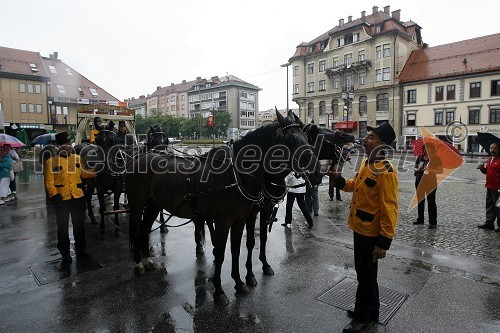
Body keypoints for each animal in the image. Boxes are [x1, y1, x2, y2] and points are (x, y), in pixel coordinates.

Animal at [124, 110, 320, 304]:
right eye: (291, 139)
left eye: (307, 138)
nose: (317, 172)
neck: (235, 175)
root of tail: (140, 157)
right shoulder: (224, 222)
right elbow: (220, 253)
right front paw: (219, 290)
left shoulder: (242, 219)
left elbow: (237, 249)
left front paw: (240, 282)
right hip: (137, 204)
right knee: (135, 229)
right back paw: (138, 263)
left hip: (154, 204)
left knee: (145, 227)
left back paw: (148, 260)